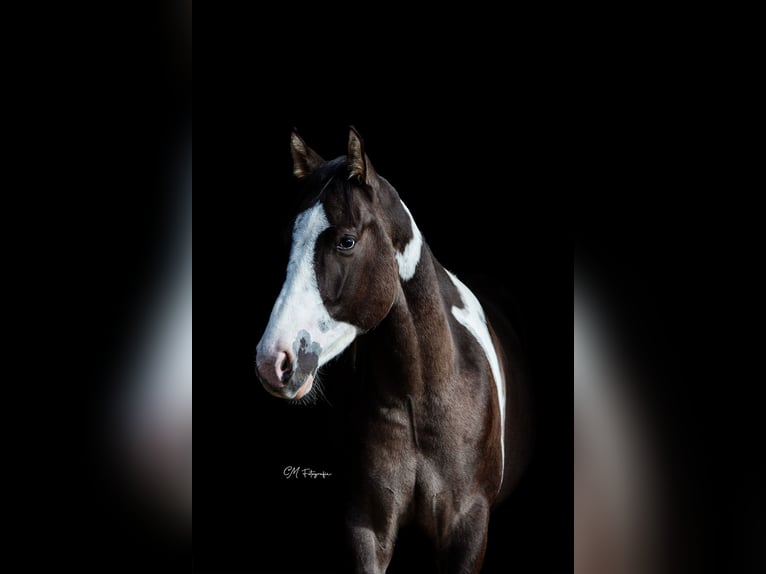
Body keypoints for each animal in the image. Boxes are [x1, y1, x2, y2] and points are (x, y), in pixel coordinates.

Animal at [255, 127, 531, 573]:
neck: (418, 393)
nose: (272, 361)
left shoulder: (468, 527)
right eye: (287, 241)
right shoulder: (367, 526)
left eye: (347, 241)